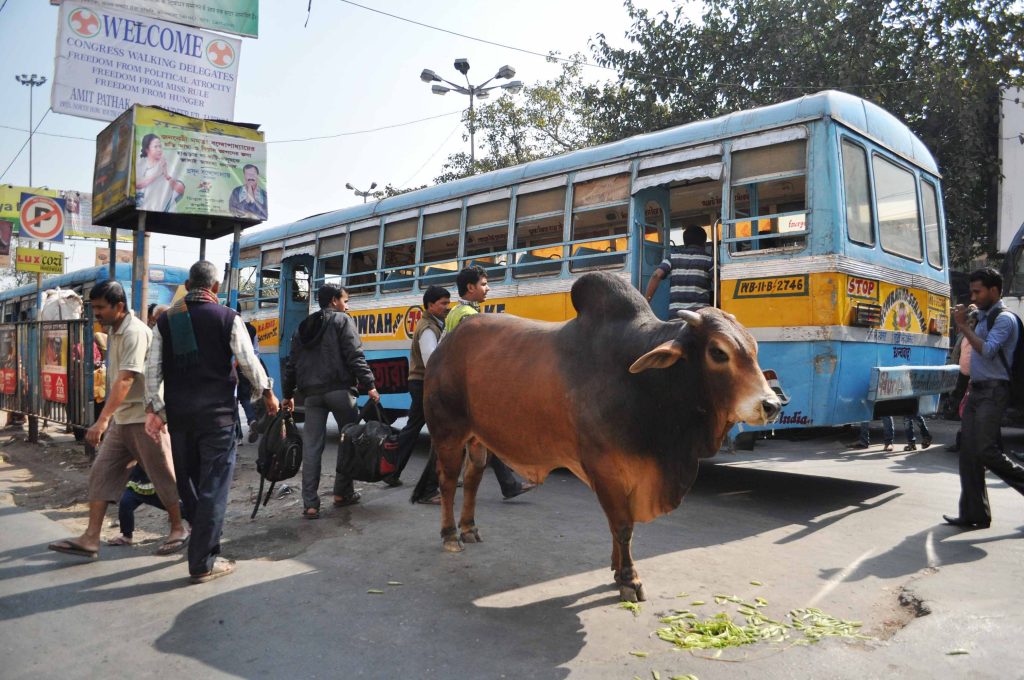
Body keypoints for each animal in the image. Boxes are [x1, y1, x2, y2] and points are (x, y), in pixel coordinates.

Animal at [419, 270, 778, 602]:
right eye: (718, 352)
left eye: (754, 348)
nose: (771, 404)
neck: (648, 385)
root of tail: (445, 345)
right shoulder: (606, 468)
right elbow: (622, 525)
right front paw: (629, 579)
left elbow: (618, 526)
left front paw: (616, 571)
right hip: (447, 431)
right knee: (448, 481)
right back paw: (450, 535)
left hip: (479, 438)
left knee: (473, 477)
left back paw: (469, 529)